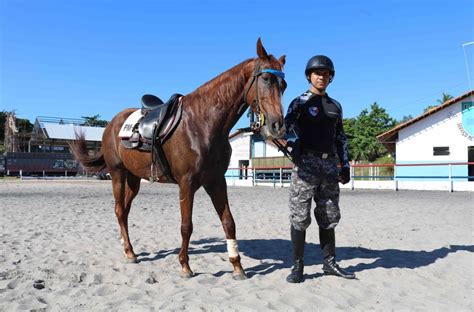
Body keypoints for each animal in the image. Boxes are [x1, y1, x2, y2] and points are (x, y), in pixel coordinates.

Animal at [69, 37, 286, 280]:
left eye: (284, 85)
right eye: (266, 79)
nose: (278, 126)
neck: (203, 122)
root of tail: (112, 124)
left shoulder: (216, 181)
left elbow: (229, 222)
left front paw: (237, 266)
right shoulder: (187, 183)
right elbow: (186, 225)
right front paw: (185, 265)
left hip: (134, 178)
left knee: (124, 211)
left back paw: (130, 250)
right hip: (117, 173)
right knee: (118, 210)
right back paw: (129, 252)